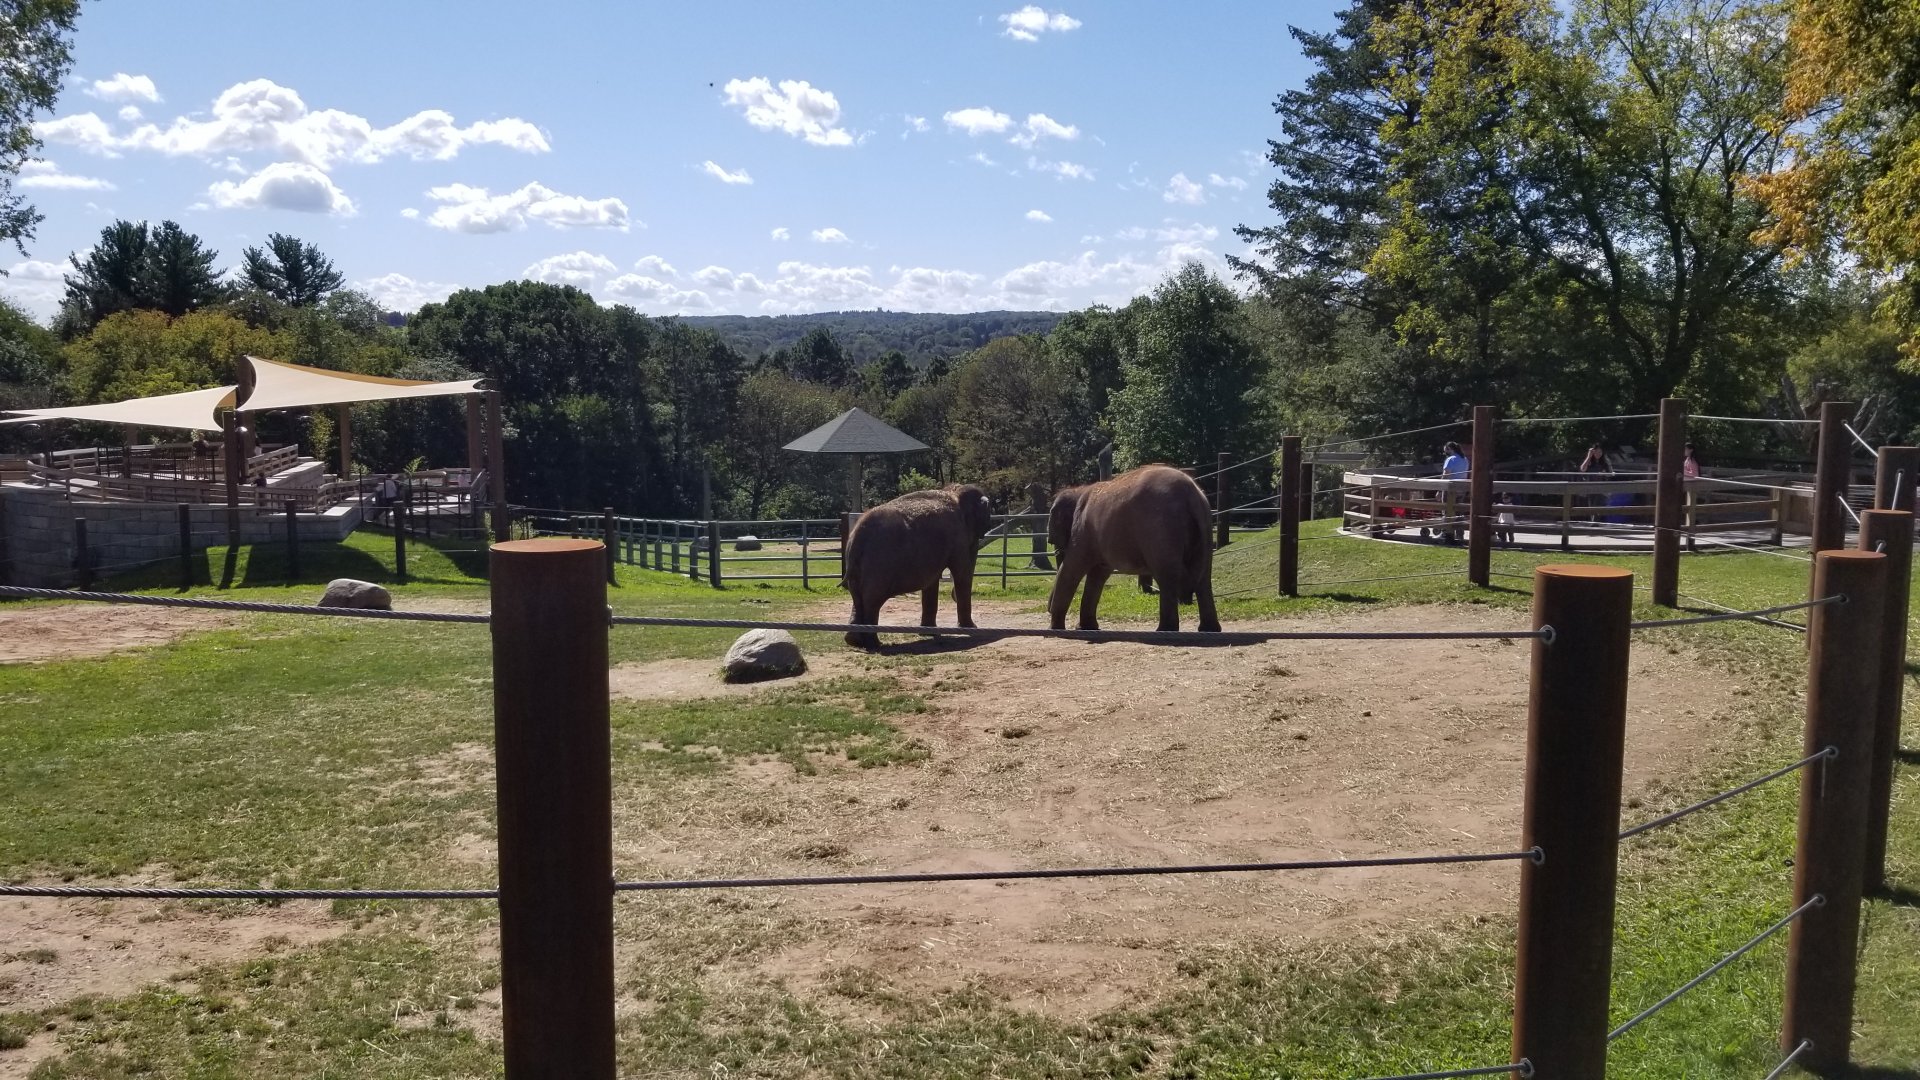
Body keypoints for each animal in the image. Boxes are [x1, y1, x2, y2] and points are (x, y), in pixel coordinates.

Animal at [842, 484, 994, 650]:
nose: (952, 596)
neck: (955, 492)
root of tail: (857, 536)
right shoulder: (958, 537)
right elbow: (961, 572)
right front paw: (971, 629)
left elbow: (932, 581)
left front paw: (929, 632)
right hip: (878, 564)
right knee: (872, 600)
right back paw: (874, 644)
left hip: (856, 565)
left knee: (857, 597)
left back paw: (854, 641)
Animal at [1048, 464, 1221, 633]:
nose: (1047, 609)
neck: (1079, 490)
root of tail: (1191, 494)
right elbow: (1098, 574)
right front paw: (1086, 628)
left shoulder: (1082, 532)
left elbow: (1071, 569)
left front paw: (1055, 629)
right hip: (1204, 526)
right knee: (1204, 577)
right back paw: (1208, 629)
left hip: (1160, 529)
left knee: (1166, 576)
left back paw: (1164, 630)